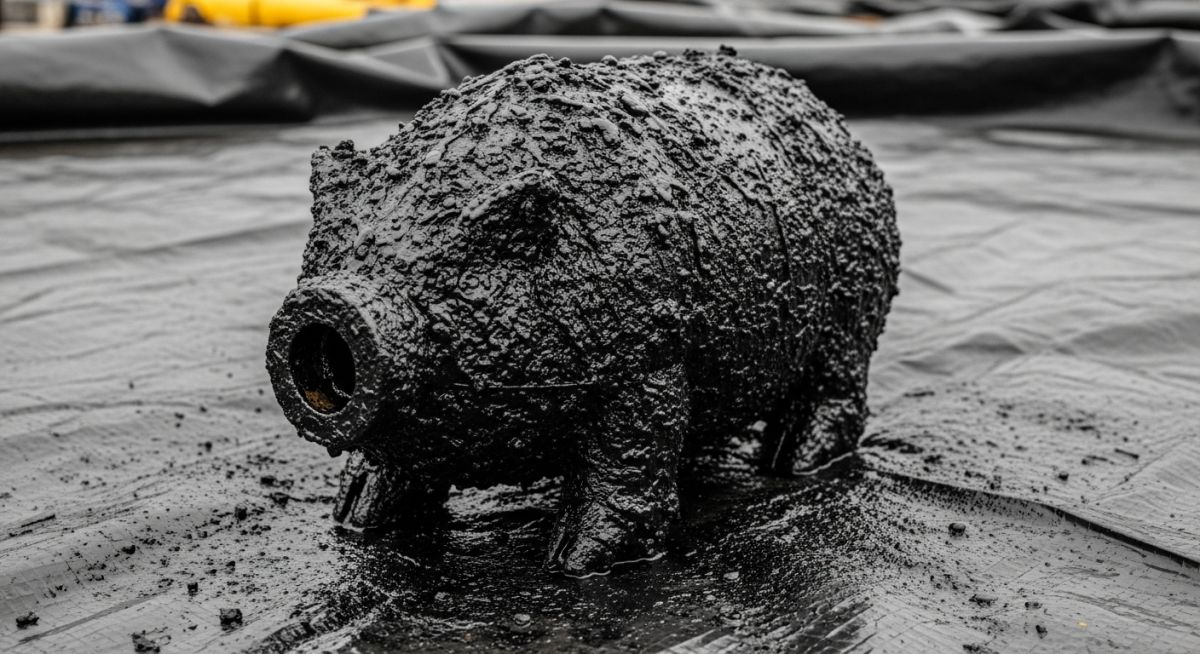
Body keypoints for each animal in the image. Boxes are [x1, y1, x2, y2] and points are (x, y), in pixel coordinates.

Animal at [266, 47, 900, 576]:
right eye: (339, 247)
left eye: (459, 261)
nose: (334, 300)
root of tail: (837, 121)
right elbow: (395, 466)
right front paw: (355, 521)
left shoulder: (648, 361)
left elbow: (627, 459)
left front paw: (576, 563)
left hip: (851, 307)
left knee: (836, 385)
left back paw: (793, 462)